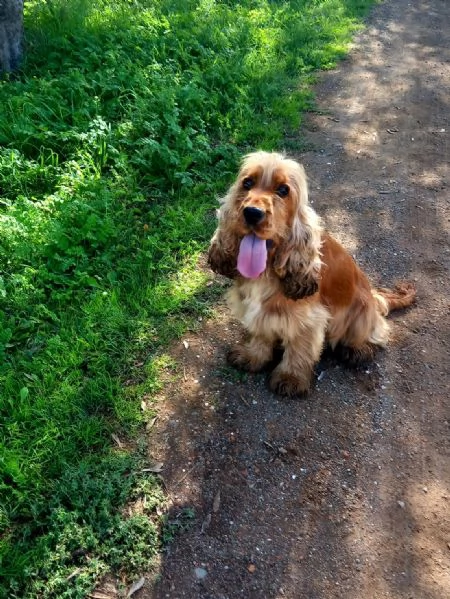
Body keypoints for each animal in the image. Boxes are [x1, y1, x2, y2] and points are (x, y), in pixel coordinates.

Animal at [207, 151, 414, 398]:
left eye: (283, 190)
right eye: (247, 183)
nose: (252, 213)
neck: (268, 269)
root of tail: (374, 297)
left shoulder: (307, 319)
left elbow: (299, 349)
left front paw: (290, 378)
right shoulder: (260, 312)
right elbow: (261, 334)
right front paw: (252, 357)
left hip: (361, 309)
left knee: (377, 331)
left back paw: (357, 350)